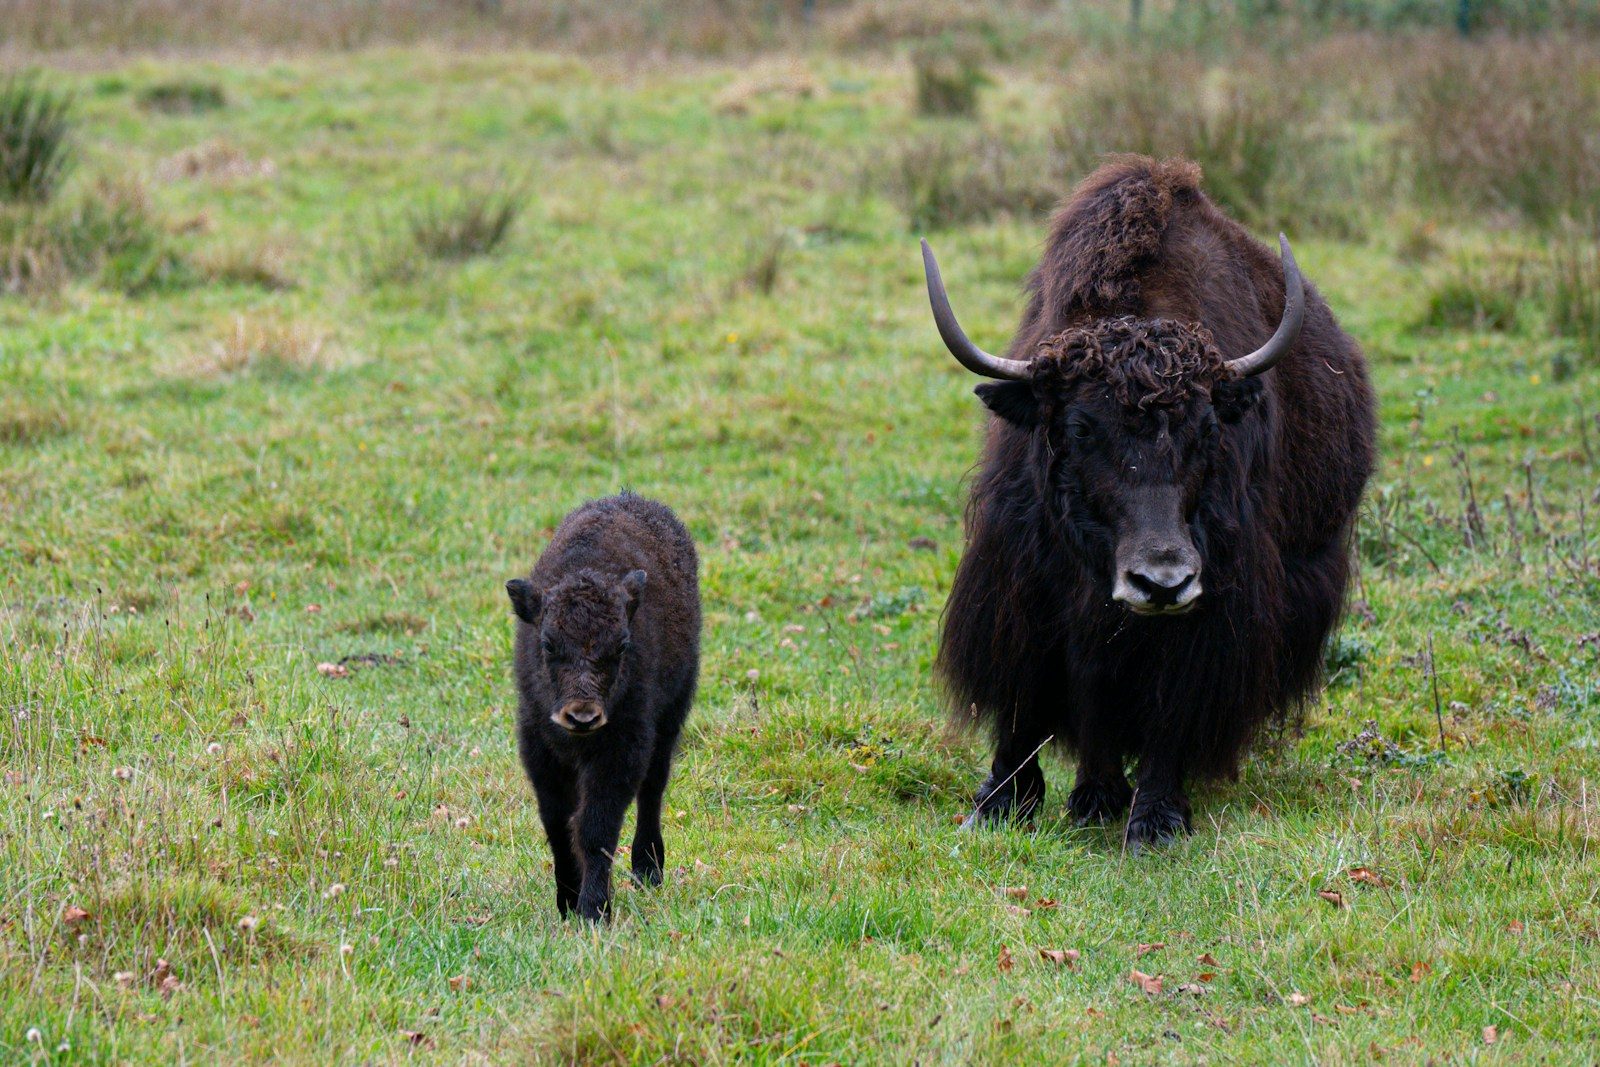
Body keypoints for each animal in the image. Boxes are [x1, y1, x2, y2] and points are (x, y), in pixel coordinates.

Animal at [924, 156, 1375, 847]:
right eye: (1080, 428)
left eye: (1206, 429)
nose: (1161, 582)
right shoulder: (1019, 581)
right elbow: (1033, 690)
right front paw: (997, 804)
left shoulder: (1214, 602)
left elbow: (1171, 701)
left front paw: (1157, 820)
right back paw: (1094, 796)